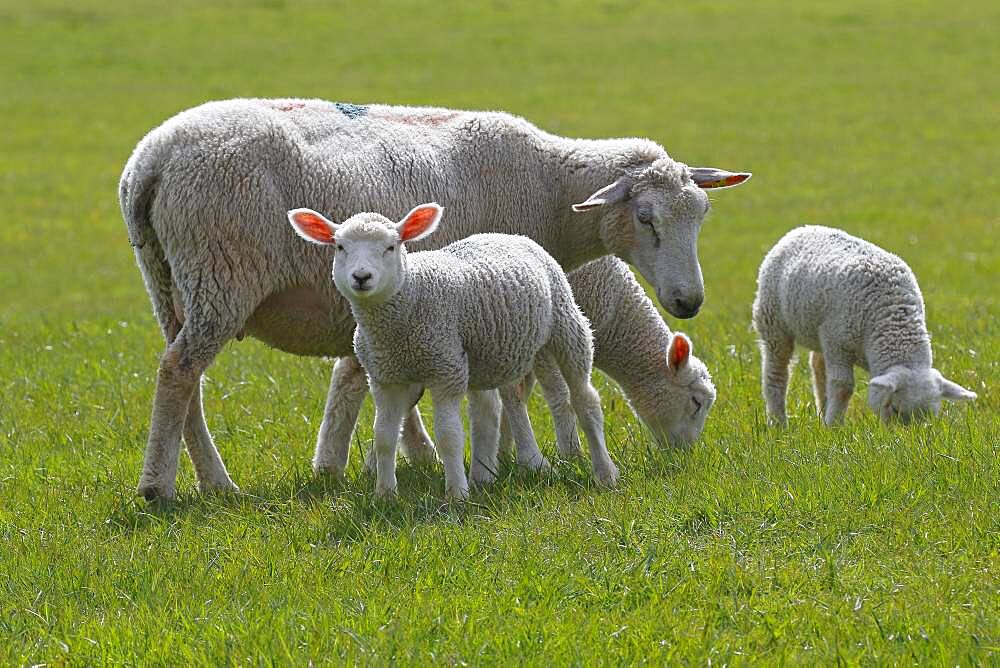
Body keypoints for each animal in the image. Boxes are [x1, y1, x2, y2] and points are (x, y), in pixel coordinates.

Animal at [288, 204, 616, 500]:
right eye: (340, 246)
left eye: (391, 246)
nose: (361, 277)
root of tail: (505, 234)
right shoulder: (384, 378)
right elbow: (384, 436)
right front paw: (385, 495)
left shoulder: (445, 370)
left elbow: (449, 436)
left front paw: (456, 495)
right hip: (490, 354)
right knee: (491, 409)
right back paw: (484, 477)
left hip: (566, 323)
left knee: (585, 399)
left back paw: (604, 473)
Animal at [498, 258, 720, 460]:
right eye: (697, 403)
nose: (686, 453)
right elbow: (554, 392)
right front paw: (571, 454)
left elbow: (520, 389)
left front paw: (503, 453)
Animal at [752, 224, 976, 422]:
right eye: (895, 409)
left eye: (930, 417)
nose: (902, 439)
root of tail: (801, 229)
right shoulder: (837, 343)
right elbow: (843, 386)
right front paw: (833, 426)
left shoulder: (843, 345)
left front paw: (828, 420)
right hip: (773, 322)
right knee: (776, 373)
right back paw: (778, 422)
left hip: (819, 330)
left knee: (818, 366)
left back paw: (821, 409)